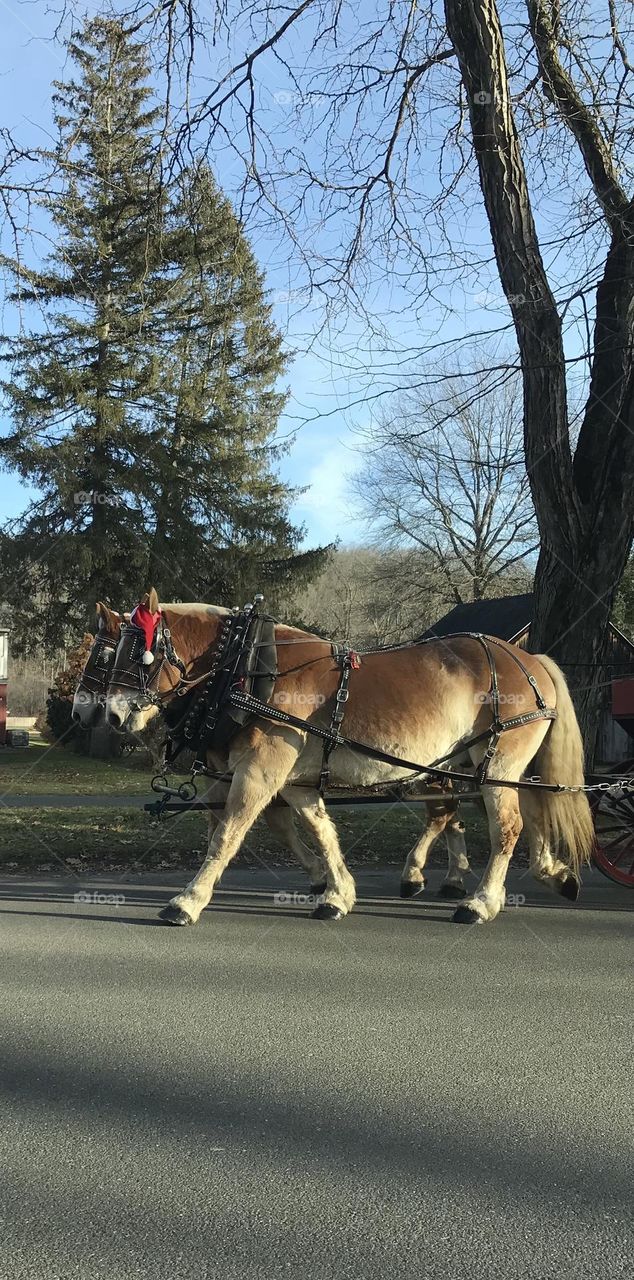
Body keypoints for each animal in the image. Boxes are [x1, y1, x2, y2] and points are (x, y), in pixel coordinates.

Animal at [105, 591, 593, 927]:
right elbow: (321, 831)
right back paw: (552, 872)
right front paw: (337, 893)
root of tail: (529, 657)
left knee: (506, 826)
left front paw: (188, 900)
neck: (250, 666)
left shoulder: (259, 771)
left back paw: (481, 901)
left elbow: (226, 834)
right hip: (493, 768)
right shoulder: (295, 780)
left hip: (496, 765)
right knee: (530, 811)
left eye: (140, 655)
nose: (112, 714)